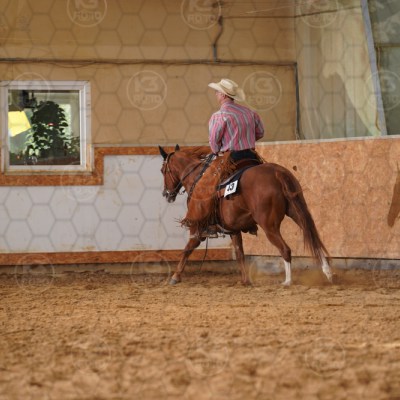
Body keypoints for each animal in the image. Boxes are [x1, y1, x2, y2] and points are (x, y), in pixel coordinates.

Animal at [159, 144, 333, 286]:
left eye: (162, 170)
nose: (166, 194)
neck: (196, 178)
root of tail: (277, 172)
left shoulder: (197, 228)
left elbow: (188, 249)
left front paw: (175, 277)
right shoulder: (233, 229)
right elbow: (239, 253)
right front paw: (245, 280)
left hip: (269, 225)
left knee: (285, 249)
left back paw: (287, 281)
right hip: (297, 212)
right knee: (313, 237)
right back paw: (327, 273)